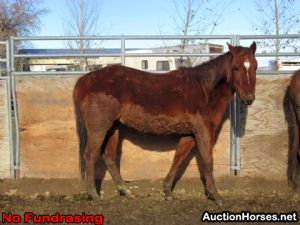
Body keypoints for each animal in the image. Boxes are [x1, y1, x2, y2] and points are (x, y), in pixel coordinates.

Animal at [74, 41, 256, 205]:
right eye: (236, 67)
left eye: (254, 66)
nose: (249, 98)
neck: (205, 90)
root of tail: (84, 79)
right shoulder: (203, 131)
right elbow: (207, 160)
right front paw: (215, 195)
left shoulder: (190, 133)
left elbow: (179, 158)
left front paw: (167, 191)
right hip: (99, 129)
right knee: (90, 155)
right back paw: (93, 194)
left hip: (113, 128)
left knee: (109, 157)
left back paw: (125, 191)